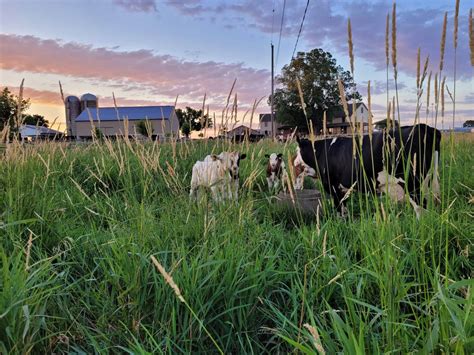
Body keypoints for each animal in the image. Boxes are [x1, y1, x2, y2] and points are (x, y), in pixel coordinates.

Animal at [296, 124, 440, 216]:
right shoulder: (343, 189)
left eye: (297, 151)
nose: (294, 162)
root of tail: (424, 127)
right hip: (430, 182)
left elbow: (339, 210)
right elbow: (345, 210)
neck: (323, 152)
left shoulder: (333, 187)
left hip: (413, 184)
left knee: (422, 209)